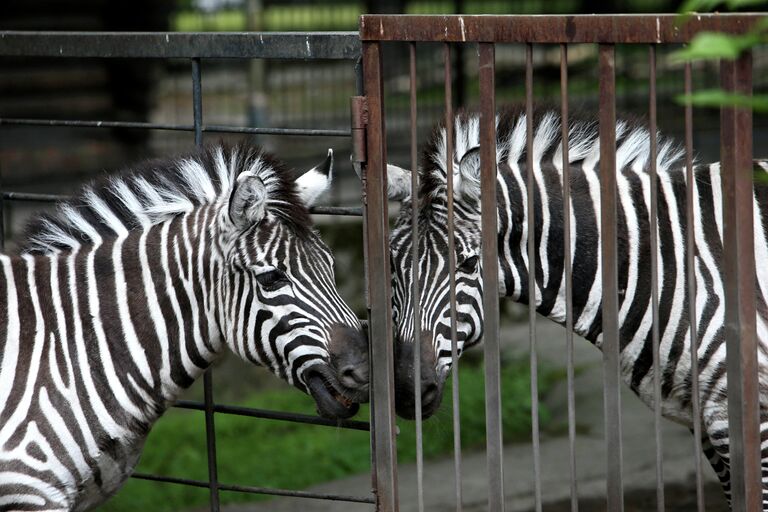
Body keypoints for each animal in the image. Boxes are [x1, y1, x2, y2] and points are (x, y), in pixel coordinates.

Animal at [388, 107, 768, 508]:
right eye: (392, 264)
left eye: (469, 263)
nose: (409, 392)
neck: (663, 263)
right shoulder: (704, 422)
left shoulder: (747, 412)